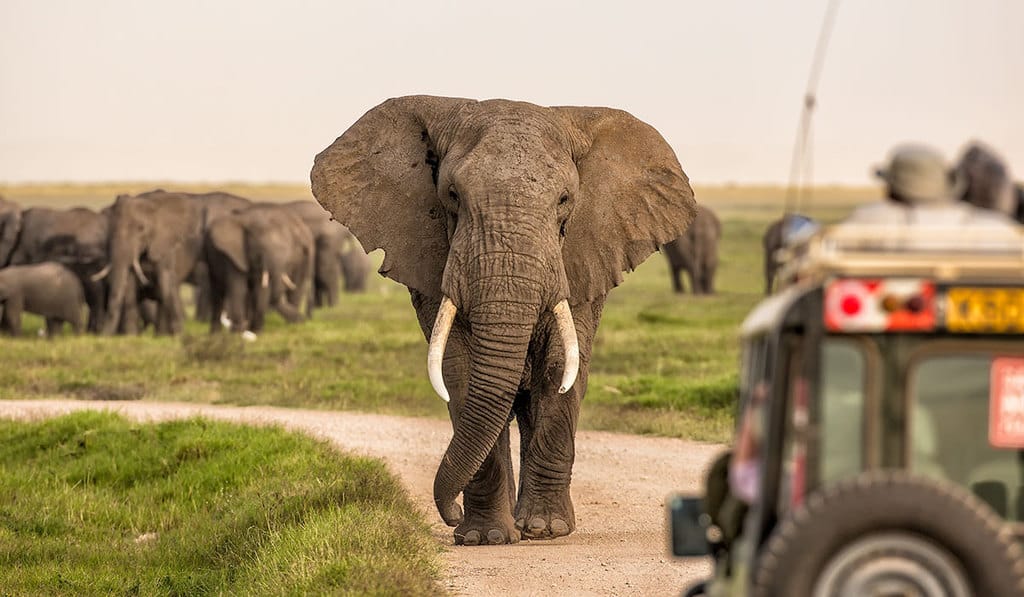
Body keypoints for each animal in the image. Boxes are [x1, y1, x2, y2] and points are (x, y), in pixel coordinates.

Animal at [99, 190, 203, 335]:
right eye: (110, 230)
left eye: (141, 229)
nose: (102, 336)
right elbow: (129, 286)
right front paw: (131, 336)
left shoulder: (165, 246)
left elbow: (165, 284)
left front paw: (177, 335)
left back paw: (162, 334)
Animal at [206, 199, 315, 331]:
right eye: (259, 251)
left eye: (289, 255)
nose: (303, 320)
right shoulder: (234, 255)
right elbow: (239, 289)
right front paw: (238, 332)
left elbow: (261, 289)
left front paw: (255, 331)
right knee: (217, 291)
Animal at [311, 94, 696, 544]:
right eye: (452, 195)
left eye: (565, 199)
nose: (451, 514)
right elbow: (459, 368)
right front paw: (484, 538)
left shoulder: (584, 255)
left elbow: (559, 367)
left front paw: (547, 530)